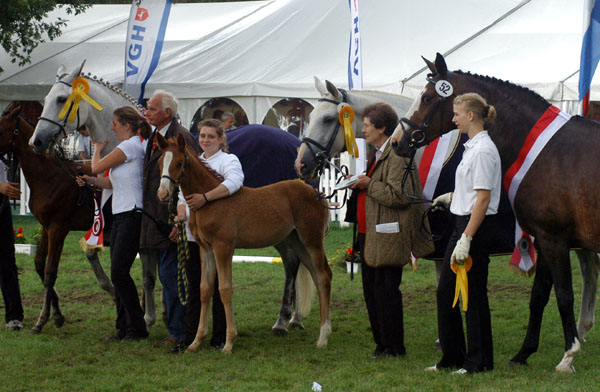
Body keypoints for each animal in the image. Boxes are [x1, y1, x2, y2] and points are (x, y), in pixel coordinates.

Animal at [0, 104, 115, 334]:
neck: (50, 177)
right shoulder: (46, 227)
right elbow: (39, 265)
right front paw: (58, 315)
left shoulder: (58, 229)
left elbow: (50, 272)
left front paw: (42, 320)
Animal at [392, 53, 600, 372]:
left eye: (427, 98)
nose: (396, 142)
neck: (547, 152)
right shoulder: (544, 239)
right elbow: (538, 297)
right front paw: (524, 353)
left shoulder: (554, 239)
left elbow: (563, 295)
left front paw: (568, 356)